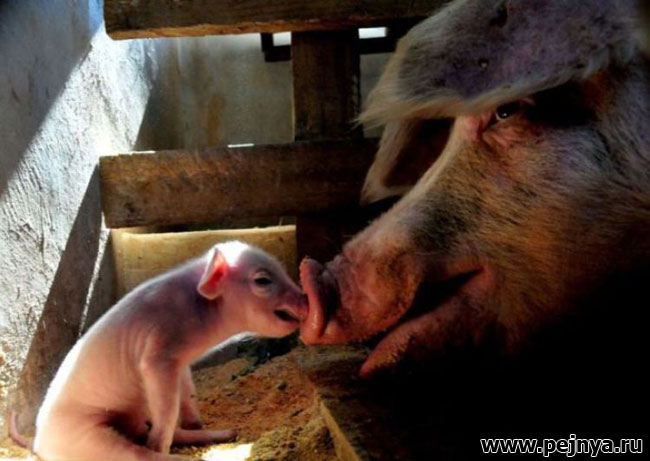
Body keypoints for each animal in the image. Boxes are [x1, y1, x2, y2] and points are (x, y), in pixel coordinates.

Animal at [14, 241, 305, 461]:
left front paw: (196, 422)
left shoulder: (181, 362)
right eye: (263, 280)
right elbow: (166, 409)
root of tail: (37, 442)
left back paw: (227, 433)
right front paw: (165, 442)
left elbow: (187, 393)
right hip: (87, 437)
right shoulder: (158, 354)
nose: (305, 298)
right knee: (136, 452)